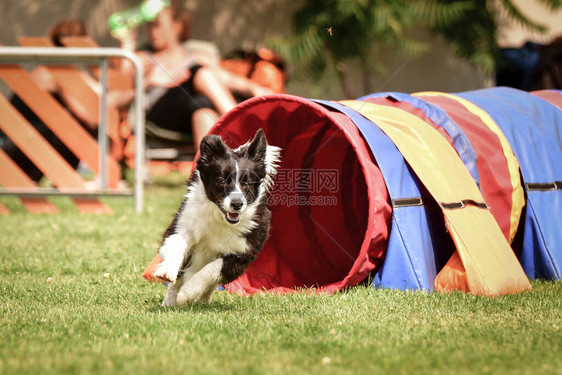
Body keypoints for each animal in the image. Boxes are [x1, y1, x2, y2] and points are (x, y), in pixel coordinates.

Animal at [153, 129, 280, 306]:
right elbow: (177, 244)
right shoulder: (183, 224)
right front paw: (167, 270)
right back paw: (169, 301)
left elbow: (213, 268)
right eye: (221, 181)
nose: (237, 204)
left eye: (247, 183)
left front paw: (187, 292)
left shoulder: (244, 253)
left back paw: (199, 299)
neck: (219, 217)